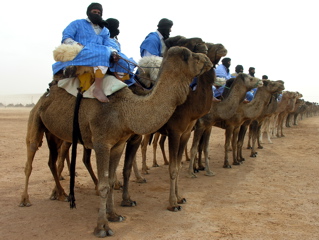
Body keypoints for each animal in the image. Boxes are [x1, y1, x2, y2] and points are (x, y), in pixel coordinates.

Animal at [20, 47, 212, 238]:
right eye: (189, 55)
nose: (207, 59)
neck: (125, 110)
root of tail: (45, 95)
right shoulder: (102, 143)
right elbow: (104, 184)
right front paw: (102, 227)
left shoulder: (118, 144)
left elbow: (112, 180)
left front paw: (113, 215)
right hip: (36, 121)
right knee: (30, 158)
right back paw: (25, 200)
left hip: (55, 134)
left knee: (52, 161)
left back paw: (61, 194)